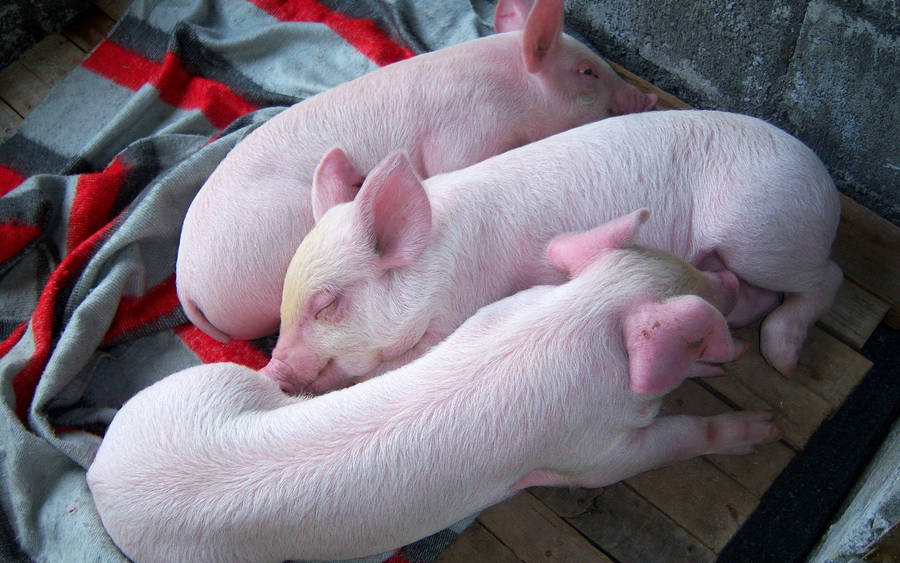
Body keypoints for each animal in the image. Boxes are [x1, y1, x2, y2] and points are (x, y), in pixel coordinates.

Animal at [88, 212, 782, 562]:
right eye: (700, 331)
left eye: (686, 264)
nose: (730, 282)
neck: (577, 316)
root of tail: (102, 475)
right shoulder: (592, 451)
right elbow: (669, 442)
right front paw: (760, 431)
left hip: (202, 386)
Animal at [264, 109, 843, 394]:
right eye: (284, 301)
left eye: (326, 304)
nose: (271, 369)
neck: (439, 262)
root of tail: (824, 183)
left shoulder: (456, 313)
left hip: (761, 233)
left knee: (827, 278)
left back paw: (782, 358)